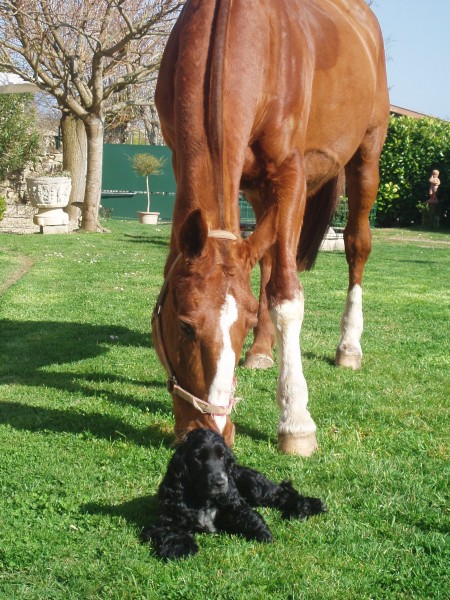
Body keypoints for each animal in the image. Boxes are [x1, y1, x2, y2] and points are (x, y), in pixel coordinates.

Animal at [144, 428, 326, 560]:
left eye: (222, 455)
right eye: (198, 458)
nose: (220, 482)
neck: (204, 499)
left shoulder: (234, 504)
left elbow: (251, 517)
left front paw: (263, 534)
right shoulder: (169, 517)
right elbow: (171, 531)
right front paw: (180, 548)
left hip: (254, 485)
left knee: (283, 492)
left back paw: (307, 506)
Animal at [152, 0, 390, 454]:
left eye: (241, 326)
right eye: (185, 325)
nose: (212, 432)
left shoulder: (290, 173)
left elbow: (286, 296)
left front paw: (296, 420)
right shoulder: (179, 158)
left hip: (366, 154)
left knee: (357, 244)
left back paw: (348, 346)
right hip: (259, 190)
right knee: (264, 260)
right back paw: (264, 351)